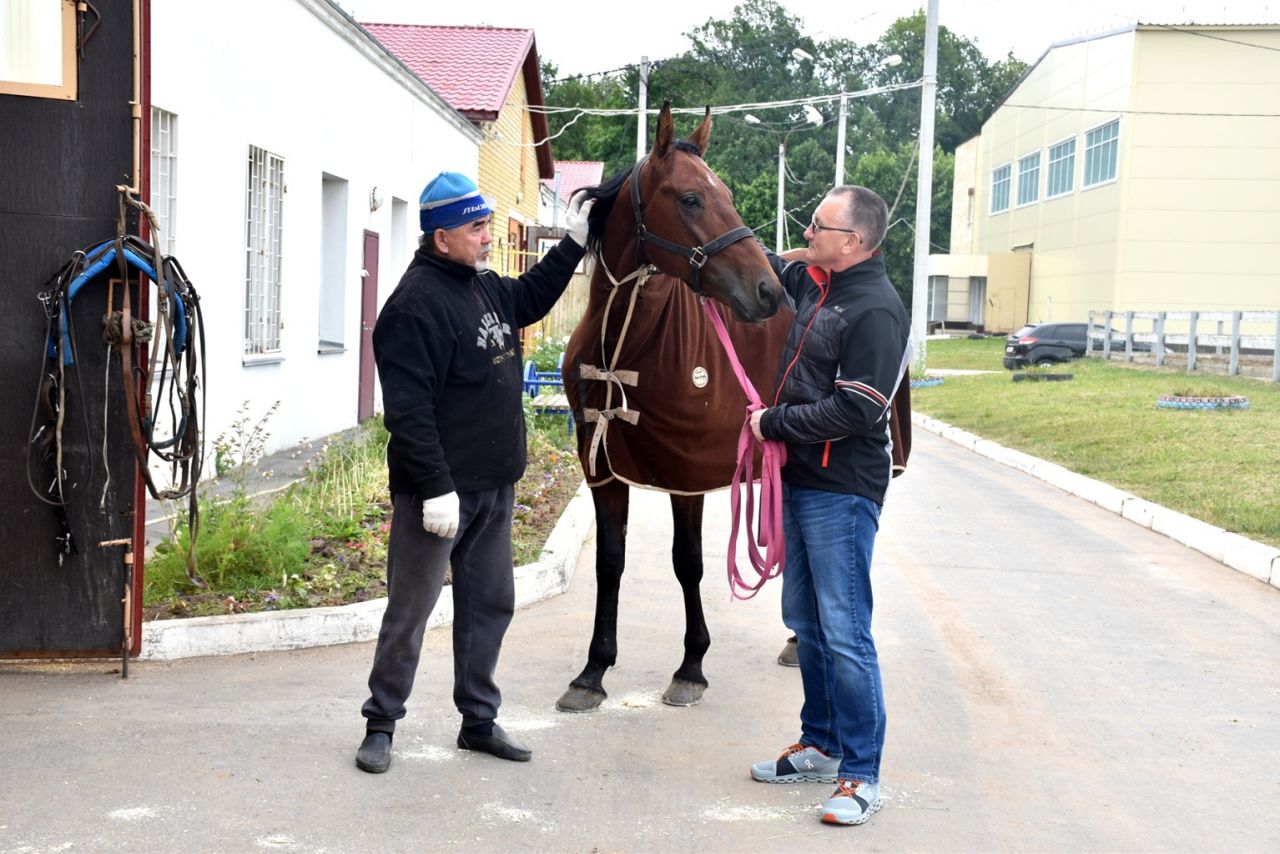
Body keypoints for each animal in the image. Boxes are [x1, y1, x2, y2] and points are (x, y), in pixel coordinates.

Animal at [558, 101, 793, 717]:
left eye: (727, 193)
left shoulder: (687, 474)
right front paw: (592, 672)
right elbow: (609, 563)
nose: (769, 292)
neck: (623, 342)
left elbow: (688, 563)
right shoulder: (603, 469)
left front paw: (691, 667)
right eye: (690, 198)